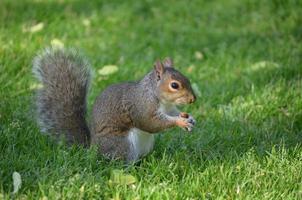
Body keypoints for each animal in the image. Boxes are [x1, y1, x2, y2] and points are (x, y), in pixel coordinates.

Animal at [32, 47, 196, 162]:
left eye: (187, 78)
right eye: (174, 85)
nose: (193, 99)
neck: (160, 99)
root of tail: (93, 149)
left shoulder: (169, 108)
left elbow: (172, 113)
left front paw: (189, 118)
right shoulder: (141, 107)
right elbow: (151, 123)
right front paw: (180, 122)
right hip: (123, 145)